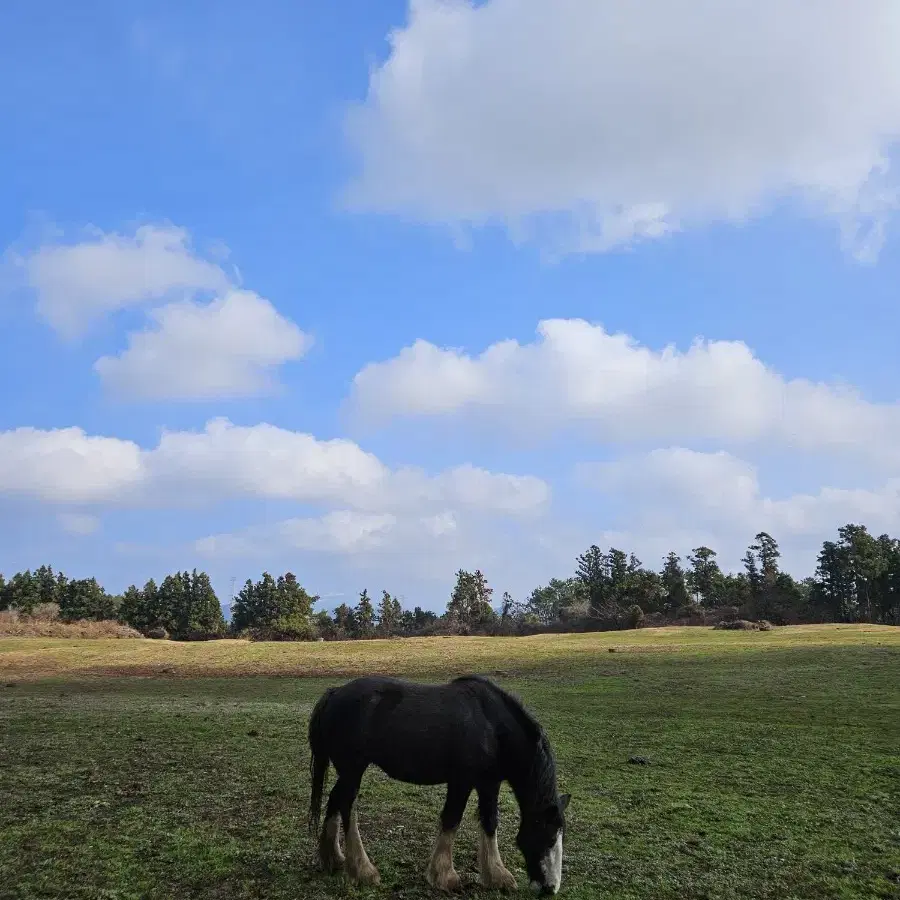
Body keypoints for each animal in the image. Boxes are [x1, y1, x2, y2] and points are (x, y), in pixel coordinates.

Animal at [306, 676, 568, 892]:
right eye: (549, 838)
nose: (550, 888)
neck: (491, 725)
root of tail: (335, 693)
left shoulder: (489, 784)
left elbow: (490, 822)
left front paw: (496, 876)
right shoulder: (462, 781)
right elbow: (452, 819)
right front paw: (444, 876)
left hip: (347, 772)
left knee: (335, 799)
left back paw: (333, 859)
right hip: (353, 770)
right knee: (347, 807)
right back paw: (363, 871)